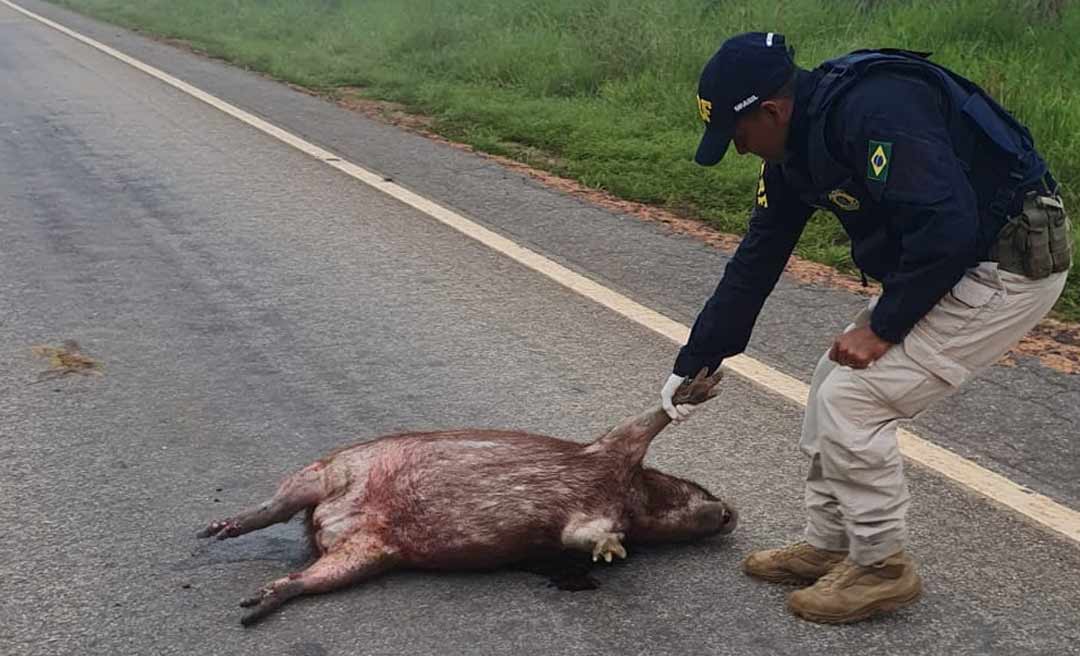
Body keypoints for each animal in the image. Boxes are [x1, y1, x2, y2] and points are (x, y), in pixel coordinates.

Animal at [199, 369, 738, 626]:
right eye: (700, 487)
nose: (730, 515)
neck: (633, 498)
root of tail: (323, 523)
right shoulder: (609, 453)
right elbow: (642, 425)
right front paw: (695, 390)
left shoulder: (595, 508)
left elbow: (579, 533)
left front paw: (609, 546)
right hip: (336, 469)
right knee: (284, 499)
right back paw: (222, 528)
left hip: (365, 553)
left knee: (313, 577)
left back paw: (261, 598)